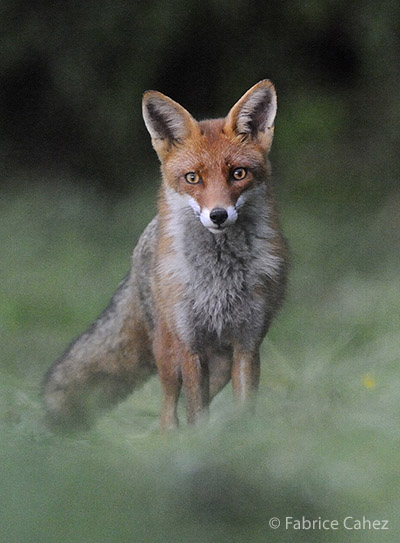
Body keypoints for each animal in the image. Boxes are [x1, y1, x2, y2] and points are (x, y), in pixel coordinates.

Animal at [43, 78, 288, 432]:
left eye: (238, 174)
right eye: (193, 178)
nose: (218, 215)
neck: (220, 279)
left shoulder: (247, 344)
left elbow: (240, 410)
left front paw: (240, 439)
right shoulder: (190, 345)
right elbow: (195, 412)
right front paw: (198, 442)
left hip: (221, 365)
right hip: (168, 353)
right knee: (169, 407)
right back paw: (170, 437)